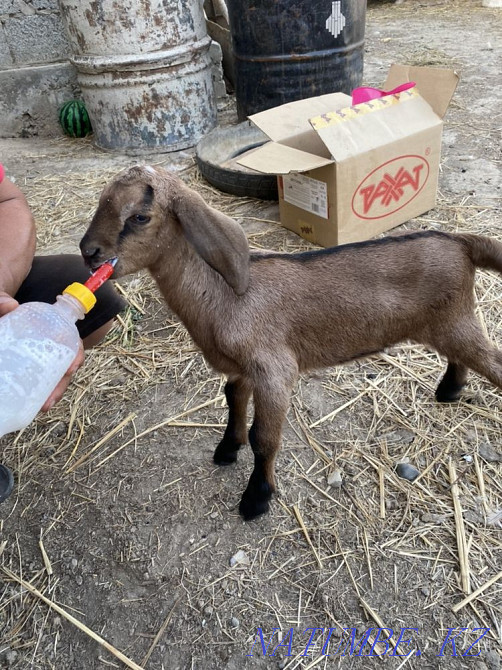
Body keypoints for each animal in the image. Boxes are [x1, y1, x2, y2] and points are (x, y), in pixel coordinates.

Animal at [80, 165, 502, 520]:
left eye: (139, 217)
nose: (89, 252)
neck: (225, 296)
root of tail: (460, 241)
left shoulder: (275, 370)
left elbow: (264, 438)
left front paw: (256, 499)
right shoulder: (241, 369)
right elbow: (233, 401)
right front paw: (226, 449)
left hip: (455, 321)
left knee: (491, 362)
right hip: (449, 323)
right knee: (461, 356)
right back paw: (449, 390)